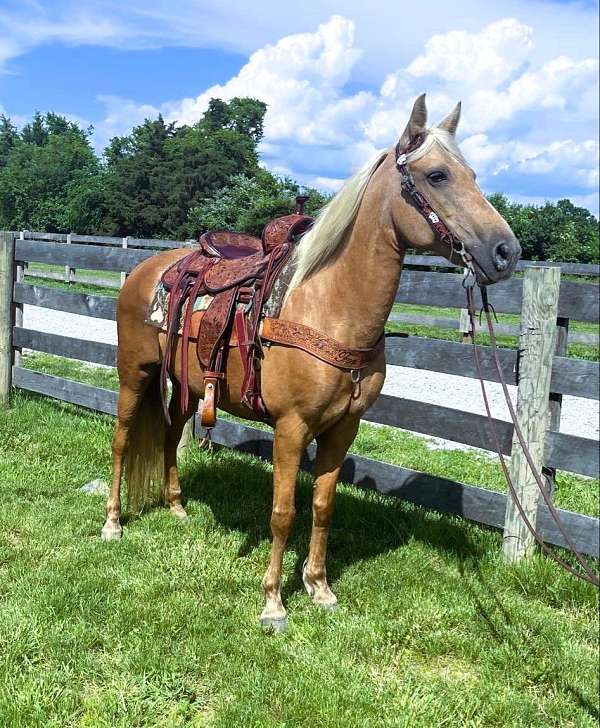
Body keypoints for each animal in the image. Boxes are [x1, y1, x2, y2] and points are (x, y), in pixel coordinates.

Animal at [99, 95, 520, 632]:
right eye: (438, 175)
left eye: (473, 173)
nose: (506, 251)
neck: (329, 306)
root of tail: (147, 269)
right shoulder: (291, 427)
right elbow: (283, 512)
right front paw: (273, 602)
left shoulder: (343, 429)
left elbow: (322, 505)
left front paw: (319, 587)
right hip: (134, 374)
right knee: (122, 440)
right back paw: (113, 523)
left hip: (188, 388)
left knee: (171, 435)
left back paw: (177, 508)